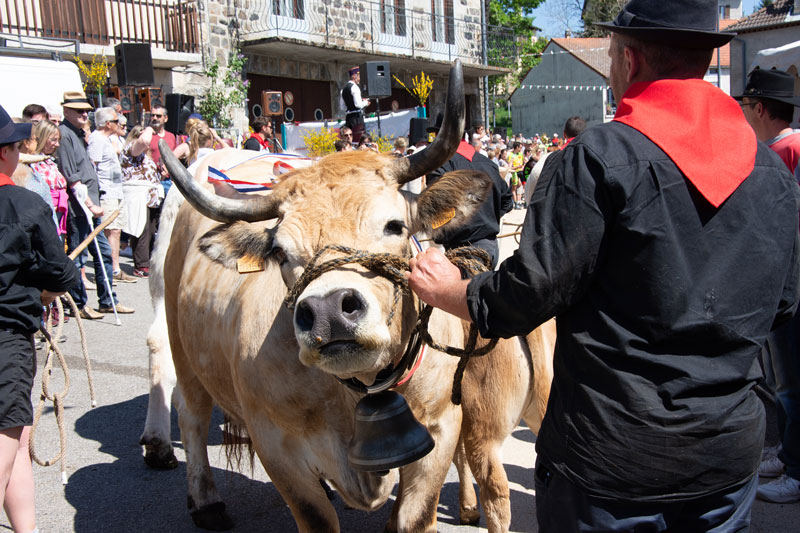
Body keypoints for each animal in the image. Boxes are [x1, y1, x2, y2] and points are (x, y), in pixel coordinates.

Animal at [161, 61, 552, 528]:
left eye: (395, 226)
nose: (330, 311)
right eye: (280, 251)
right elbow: (315, 515)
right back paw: (205, 500)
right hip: (181, 348)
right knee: (190, 414)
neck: (357, 393)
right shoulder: (278, 449)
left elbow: (413, 517)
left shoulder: (440, 431)